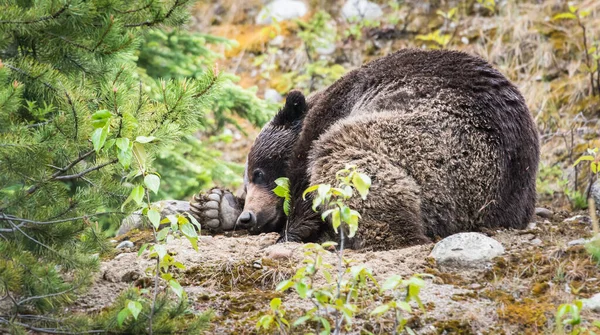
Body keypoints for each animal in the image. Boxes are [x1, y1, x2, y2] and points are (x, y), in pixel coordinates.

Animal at [191, 48, 540, 251]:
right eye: (247, 179)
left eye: (259, 172)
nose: (247, 217)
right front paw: (216, 206)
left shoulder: (332, 115)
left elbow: (306, 187)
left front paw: (288, 234)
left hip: (445, 150)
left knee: (344, 159)